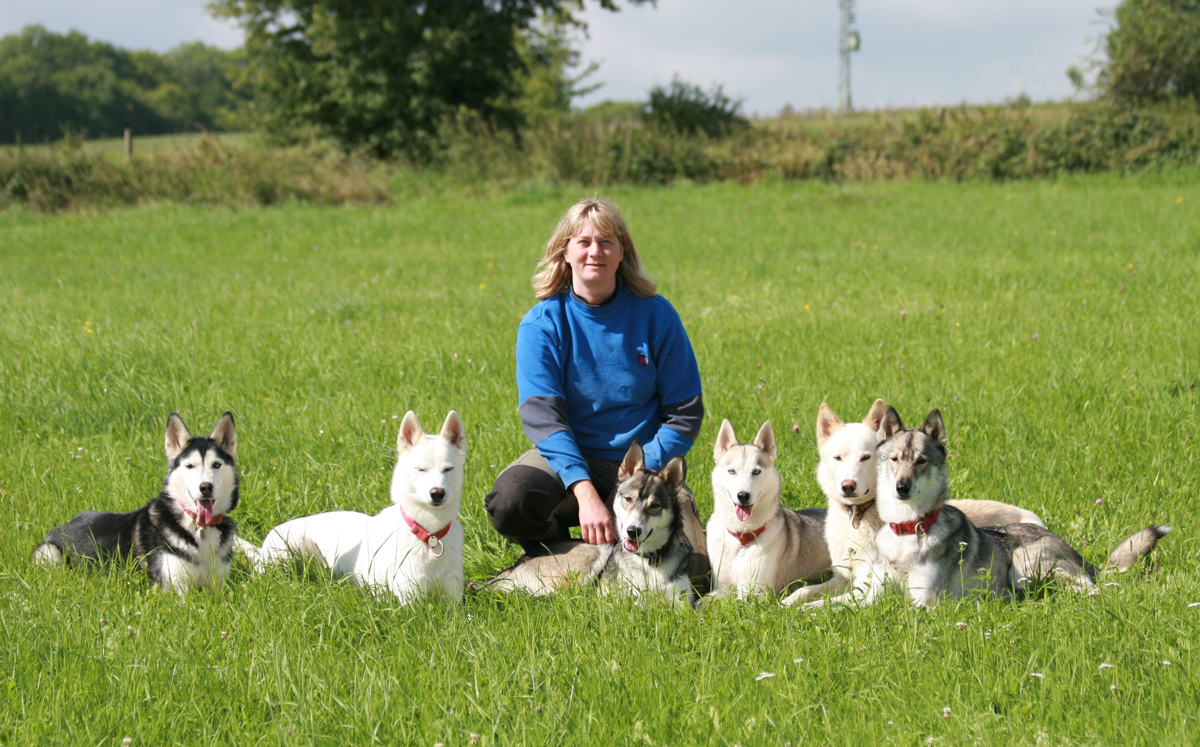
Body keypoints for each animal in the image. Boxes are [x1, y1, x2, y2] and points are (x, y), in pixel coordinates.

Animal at [250, 413, 465, 605]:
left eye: (448, 469)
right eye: (420, 469)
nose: (437, 493)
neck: (430, 535)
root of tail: (262, 547)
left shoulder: (455, 596)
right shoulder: (410, 599)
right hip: (296, 547)